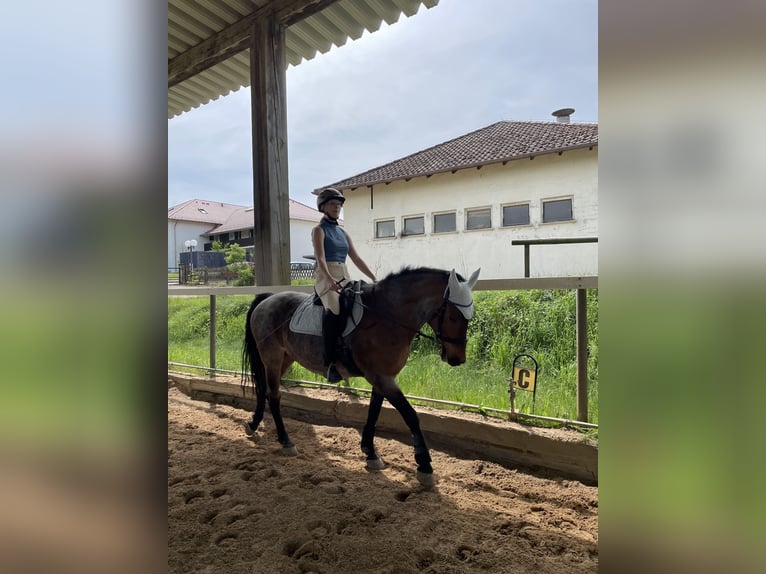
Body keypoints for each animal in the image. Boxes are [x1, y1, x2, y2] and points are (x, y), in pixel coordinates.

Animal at [242, 268, 480, 488]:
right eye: (453, 317)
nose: (457, 359)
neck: (387, 317)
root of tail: (268, 299)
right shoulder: (383, 378)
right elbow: (410, 415)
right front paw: (424, 466)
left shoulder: (382, 378)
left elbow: (374, 412)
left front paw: (370, 452)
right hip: (272, 357)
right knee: (274, 395)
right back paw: (286, 441)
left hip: (284, 358)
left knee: (264, 390)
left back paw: (254, 424)